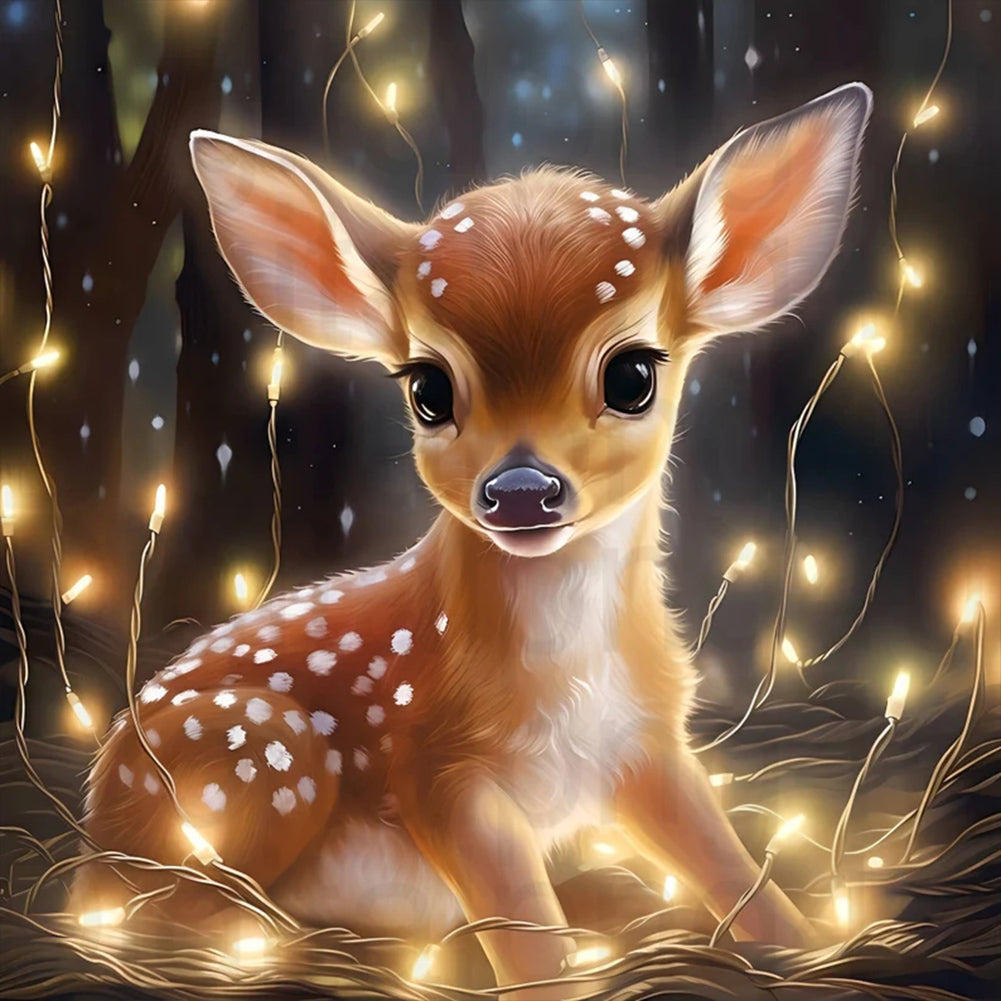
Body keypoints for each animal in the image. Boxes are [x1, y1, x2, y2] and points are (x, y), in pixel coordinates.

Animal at [75, 83, 872, 998]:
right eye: (428, 388)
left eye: (633, 374)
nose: (521, 489)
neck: (563, 668)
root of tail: (90, 839)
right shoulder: (434, 768)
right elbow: (524, 932)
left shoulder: (643, 741)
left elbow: (725, 859)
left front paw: (811, 947)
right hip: (259, 749)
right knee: (159, 909)